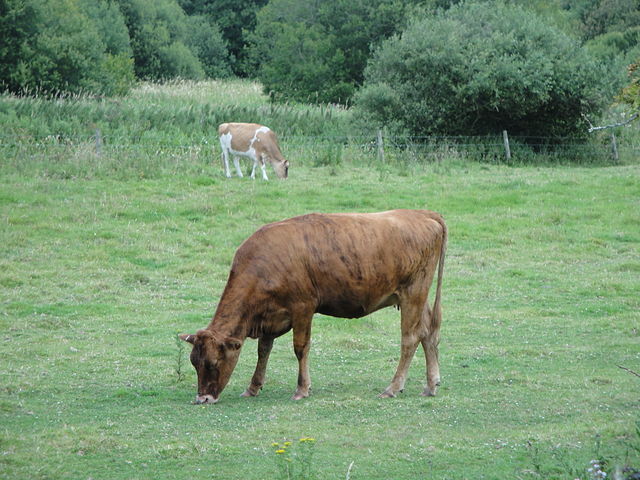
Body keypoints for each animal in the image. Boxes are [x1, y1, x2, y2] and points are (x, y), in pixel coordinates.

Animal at [180, 208, 448, 404]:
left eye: (213, 363)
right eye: (194, 362)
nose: (202, 399)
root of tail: (422, 213)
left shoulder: (303, 307)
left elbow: (300, 348)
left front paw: (302, 388)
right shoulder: (270, 317)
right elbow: (263, 350)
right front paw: (253, 387)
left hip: (413, 292)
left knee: (410, 338)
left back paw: (393, 387)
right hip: (416, 297)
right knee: (428, 332)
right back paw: (431, 384)